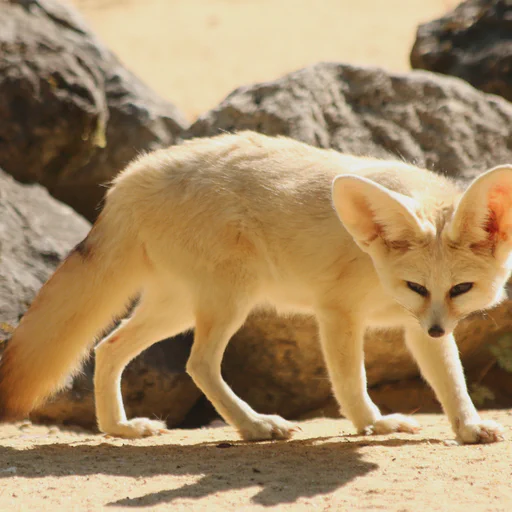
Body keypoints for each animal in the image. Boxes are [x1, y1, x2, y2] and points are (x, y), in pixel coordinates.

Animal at [0, 132, 508, 444]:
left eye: (461, 288)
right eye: (415, 284)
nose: (439, 330)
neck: (374, 261)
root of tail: (128, 179)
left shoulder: (418, 324)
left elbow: (452, 381)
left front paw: (469, 428)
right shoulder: (338, 312)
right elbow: (351, 381)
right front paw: (374, 423)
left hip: (177, 309)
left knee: (107, 348)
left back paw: (119, 428)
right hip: (228, 304)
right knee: (198, 364)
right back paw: (255, 425)